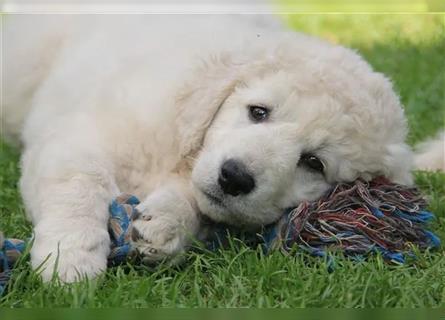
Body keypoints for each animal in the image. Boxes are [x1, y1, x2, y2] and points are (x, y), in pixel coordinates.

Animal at [2, 13, 416, 282]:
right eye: (258, 112)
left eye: (313, 163)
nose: (234, 178)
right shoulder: (80, 134)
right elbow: (80, 182)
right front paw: (69, 260)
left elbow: (198, 204)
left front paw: (164, 226)